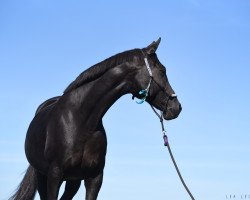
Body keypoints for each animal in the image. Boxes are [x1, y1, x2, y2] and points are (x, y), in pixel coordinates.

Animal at [10, 38, 182, 199]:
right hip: (42, 176)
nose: (177, 108)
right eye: (162, 70)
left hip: (73, 181)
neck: (81, 121)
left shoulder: (94, 178)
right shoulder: (54, 175)